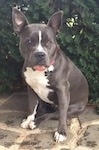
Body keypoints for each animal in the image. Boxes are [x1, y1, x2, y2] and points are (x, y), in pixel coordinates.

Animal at [12, 7, 88, 142]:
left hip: (73, 108)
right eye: (29, 41)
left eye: (49, 42)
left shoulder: (62, 91)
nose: (40, 54)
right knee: (44, 109)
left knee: (54, 114)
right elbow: (31, 106)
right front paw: (29, 119)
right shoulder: (31, 89)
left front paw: (61, 132)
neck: (40, 71)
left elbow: (62, 114)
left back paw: (36, 122)